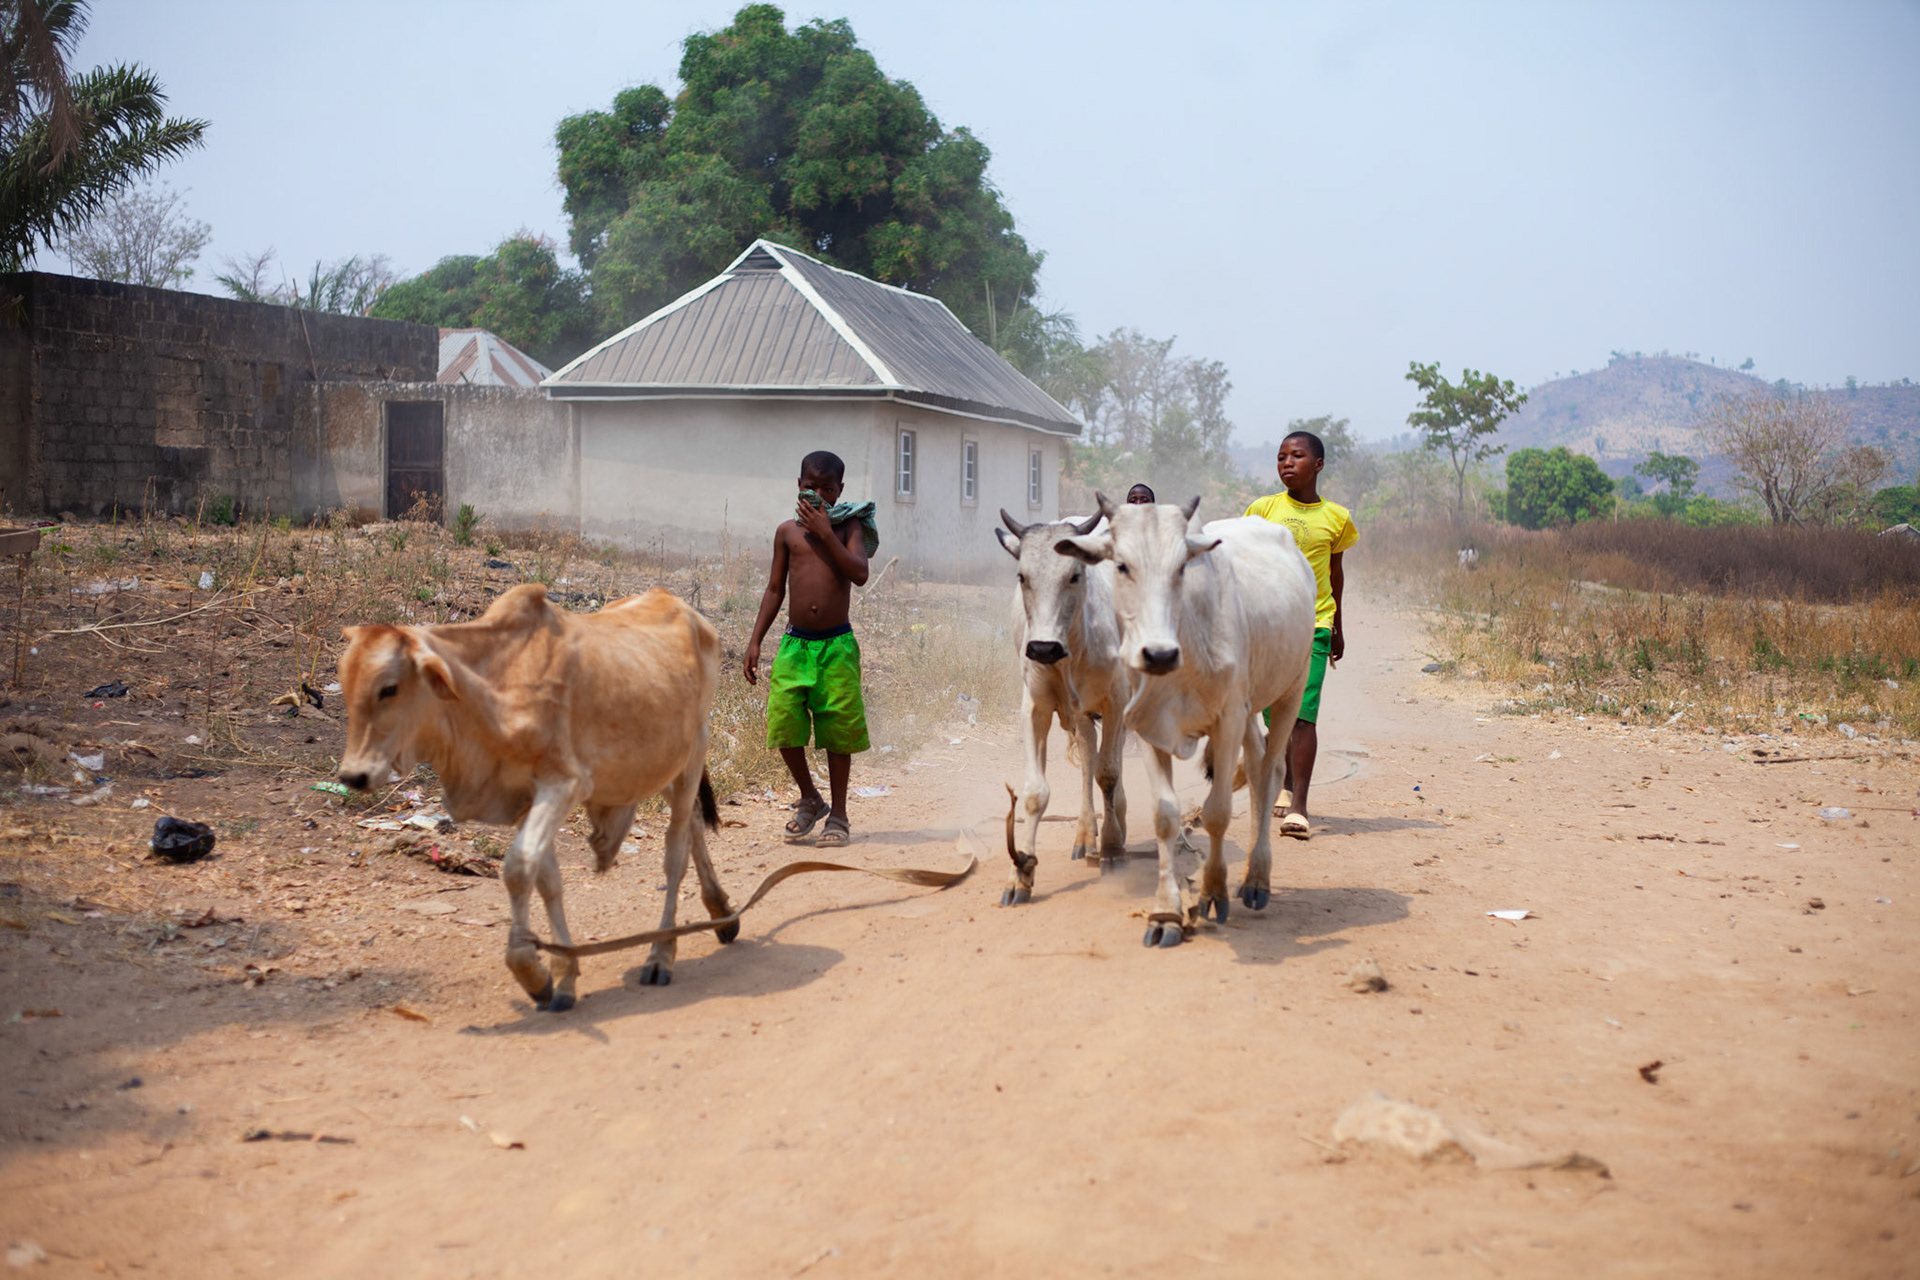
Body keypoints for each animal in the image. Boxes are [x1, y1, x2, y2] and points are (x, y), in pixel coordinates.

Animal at [335, 583, 736, 1011]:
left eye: (389, 688)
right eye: (345, 683)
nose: (353, 775)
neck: (491, 691)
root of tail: (677, 603)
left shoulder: (564, 784)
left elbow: (517, 868)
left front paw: (529, 969)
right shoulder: (521, 798)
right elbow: (546, 880)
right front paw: (564, 975)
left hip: (694, 749)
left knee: (675, 852)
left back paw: (661, 955)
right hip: (660, 762)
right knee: (693, 822)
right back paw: (723, 913)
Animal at [994, 509, 1131, 904]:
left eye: (1074, 575)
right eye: (1022, 576)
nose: (1043, 648)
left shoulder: (1117, 701)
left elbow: (1109, 773)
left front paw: (1113, 847)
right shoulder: (1035, 708)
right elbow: (1035, 793)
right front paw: (1020, 873)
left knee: (1110, 763)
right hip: (1081, 715)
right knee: (1087, 757)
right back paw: (1085, 834)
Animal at [1055, 494, 1317, 946]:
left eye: (1182, 567)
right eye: (1121, 565)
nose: (1158, 654)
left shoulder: (1227, 722)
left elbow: (1216, 814)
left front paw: (1213, 892)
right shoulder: (1149, 723)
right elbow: (1165, 816)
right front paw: (1166, 914)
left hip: (1291, 687)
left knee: (1272, 770)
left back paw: (1256, 879)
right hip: (1249, 708)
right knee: (1257, 765)